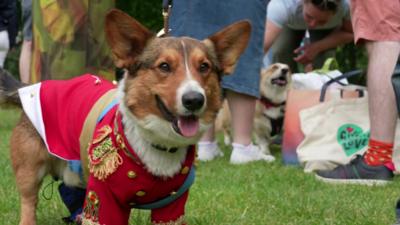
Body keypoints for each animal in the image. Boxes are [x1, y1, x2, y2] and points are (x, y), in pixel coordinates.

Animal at [0, 8, 250, 225]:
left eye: (204, 67)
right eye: (164, 66)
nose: (194, 100)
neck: (158, 143)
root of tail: (29, 87)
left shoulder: (173, 204)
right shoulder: (103, 196)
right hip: (30, 171)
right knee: (28, 202)